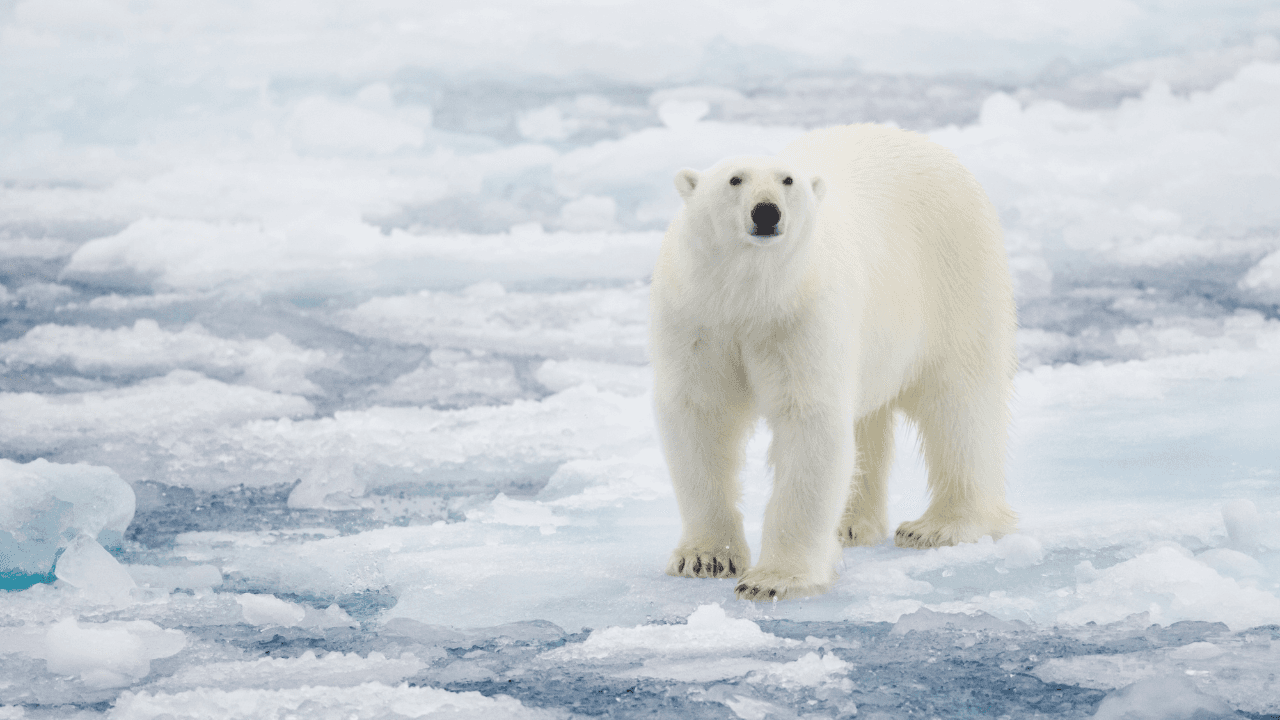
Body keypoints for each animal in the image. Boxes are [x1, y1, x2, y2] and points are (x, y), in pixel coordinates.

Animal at [649, 124, 1018, 602]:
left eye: (788, 180)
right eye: (735, 180)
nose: (766, 212)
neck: (749, 296)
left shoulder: (801, 316)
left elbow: (808, 421)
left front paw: (774, 580)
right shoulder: (697, 318)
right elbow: (700, 414)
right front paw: (705, 558)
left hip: (954, 275)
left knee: (960, 404)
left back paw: (939, 526)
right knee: (870, 420)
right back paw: (851, 525)